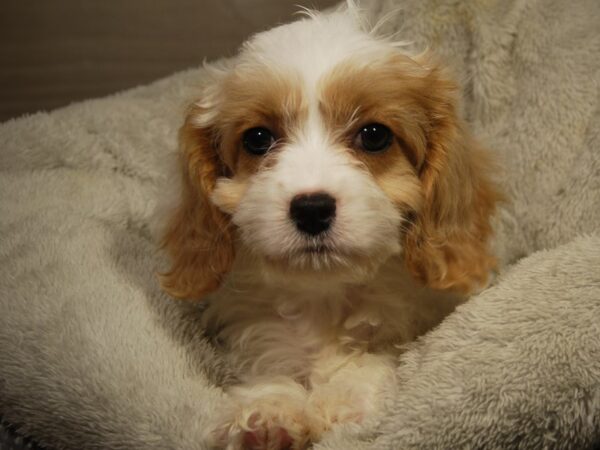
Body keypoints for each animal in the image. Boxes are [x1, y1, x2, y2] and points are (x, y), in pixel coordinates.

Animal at [157, 3, 500, 450]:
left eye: (374, 135)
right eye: (258, 139)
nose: (312, 209)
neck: (324, 297)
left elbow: (373, 359)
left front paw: (343, 399)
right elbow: (272, 363)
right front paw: (268, 410)